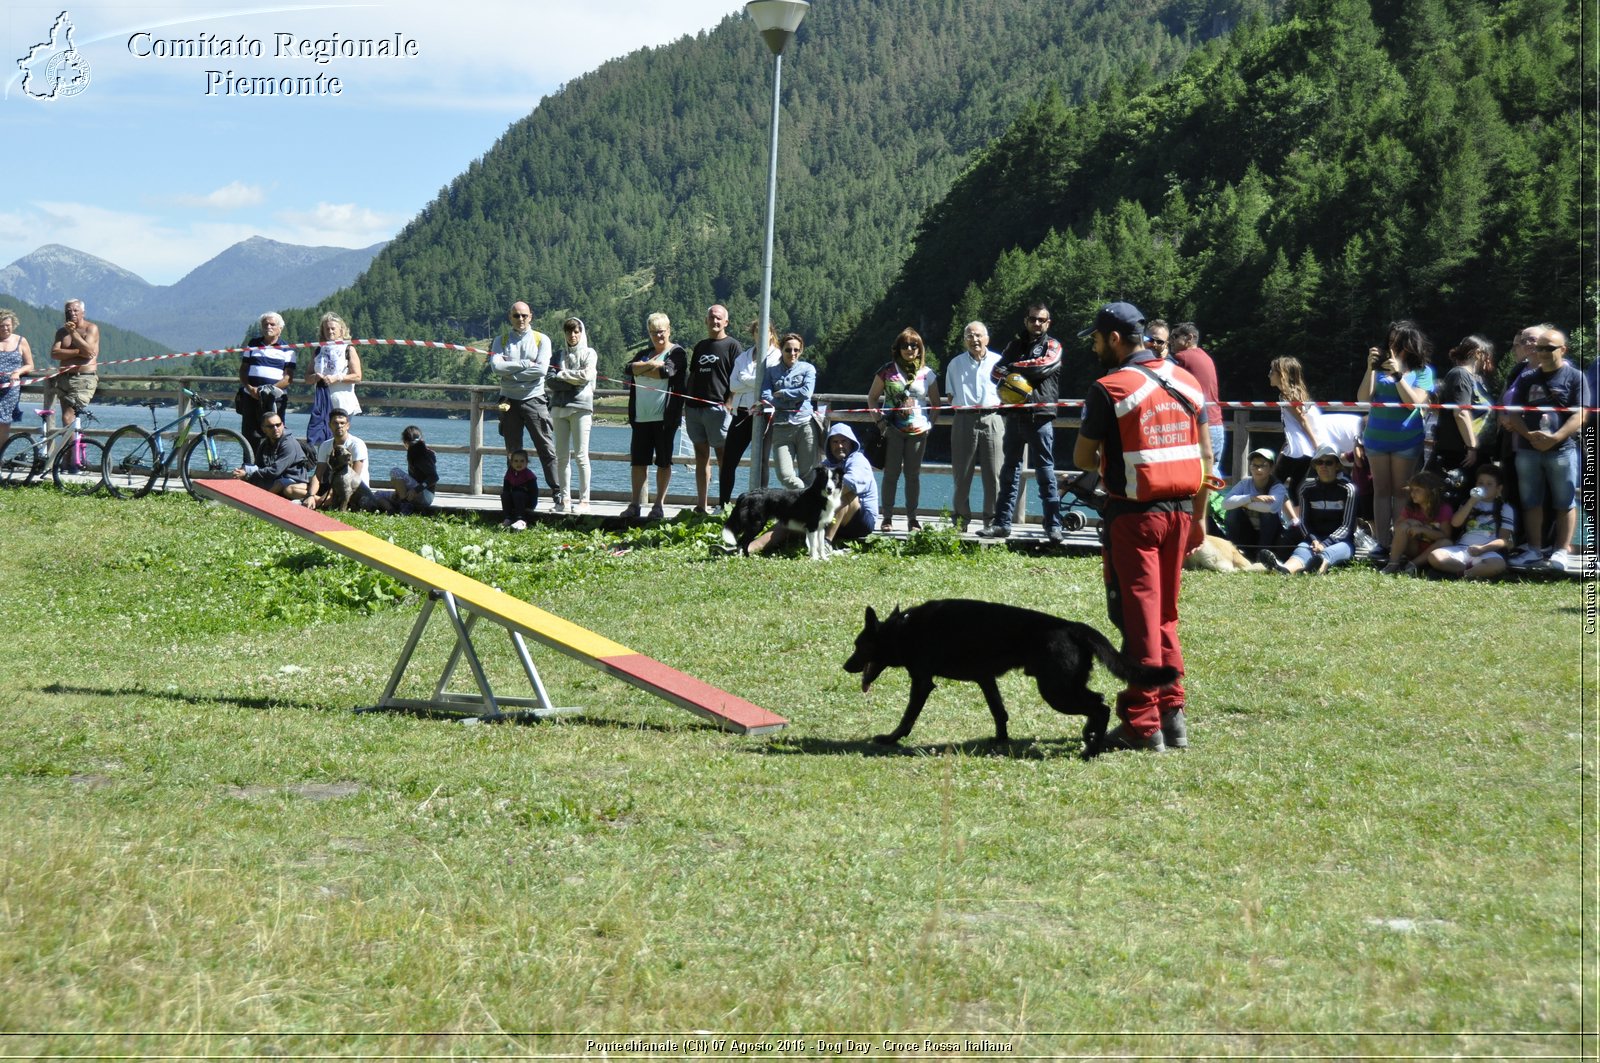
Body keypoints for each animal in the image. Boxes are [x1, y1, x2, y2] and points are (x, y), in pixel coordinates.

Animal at [844, 598, 1184, 755]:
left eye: (859, 646)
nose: (846, 666)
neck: (902, 629)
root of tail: (1072, 627)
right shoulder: (986, 679)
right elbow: (999, 711)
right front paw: (1000, 739)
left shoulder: (922, 682)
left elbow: (908, 717)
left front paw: (891, 739)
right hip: (1064, 687)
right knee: (1098, 702)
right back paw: (1089, 737)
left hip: (1056, 691)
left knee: (1100, 706)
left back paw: (1090, 751)